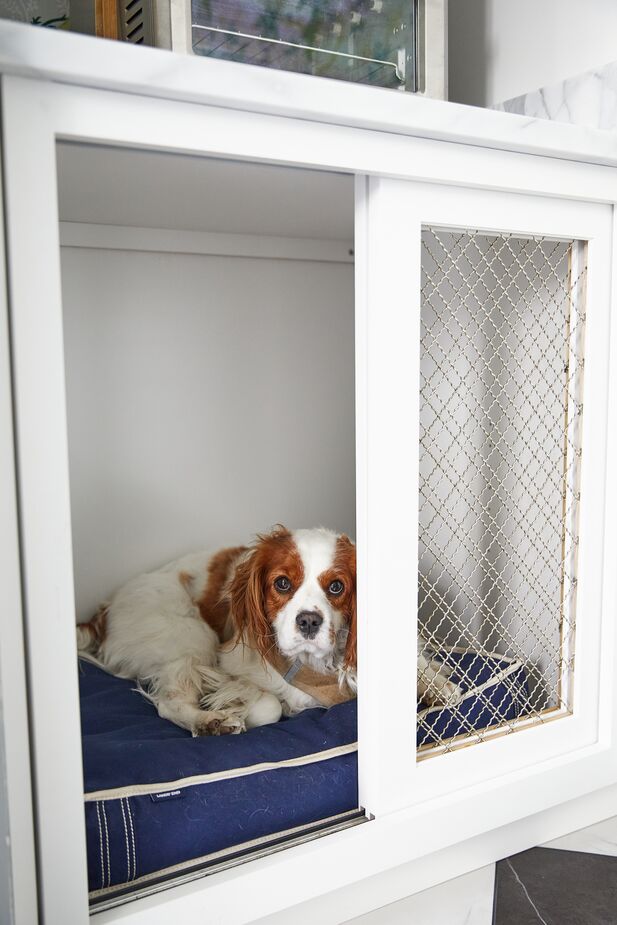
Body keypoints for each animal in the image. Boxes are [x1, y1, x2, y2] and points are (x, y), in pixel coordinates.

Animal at [77, 528, 460, 736]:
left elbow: (417, 661)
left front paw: (438, 685)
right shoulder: (230, 662)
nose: (308, 621)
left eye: (336, 586)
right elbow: (270, 706)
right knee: (170, 703)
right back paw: (210, 721)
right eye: (282, 583)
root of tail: (104, 609)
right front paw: (230, 704)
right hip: (189, 634)